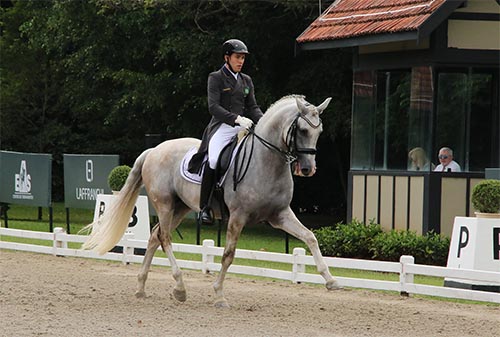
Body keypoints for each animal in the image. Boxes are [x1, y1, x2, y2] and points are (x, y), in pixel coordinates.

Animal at [83, 95, 340, 308]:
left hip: (181, 207)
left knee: (155, 236)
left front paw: (330, 280)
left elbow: (310, 237)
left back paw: (141, 287)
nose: (307, 169)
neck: (266, 161)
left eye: (319, 131)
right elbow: (228, 254)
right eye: (303, 130)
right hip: (165, 203)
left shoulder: (280, 215)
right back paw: (180, 288)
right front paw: (219, 295)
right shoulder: (238, 216)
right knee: (165, 238)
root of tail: (154, 149)